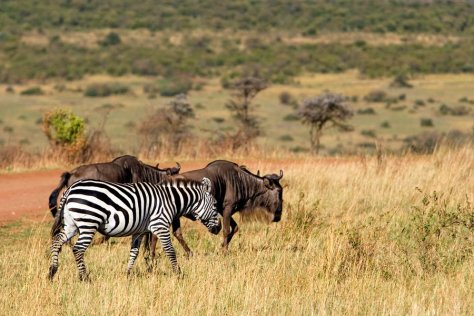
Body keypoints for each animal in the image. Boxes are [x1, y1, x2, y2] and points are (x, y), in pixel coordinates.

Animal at [48, 178, 220, 282]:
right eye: (215, 205)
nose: (219, 229)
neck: (171, 200)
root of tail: (71, 188)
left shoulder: (139, 231)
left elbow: (134, 253)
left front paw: (128, 275)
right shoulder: (160, 225)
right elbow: (170, 251)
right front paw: (179, 274)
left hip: (72, 225)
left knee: (57, 241)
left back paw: (52, 272)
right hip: (89, 222)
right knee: (78, 249)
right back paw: (85, 278)